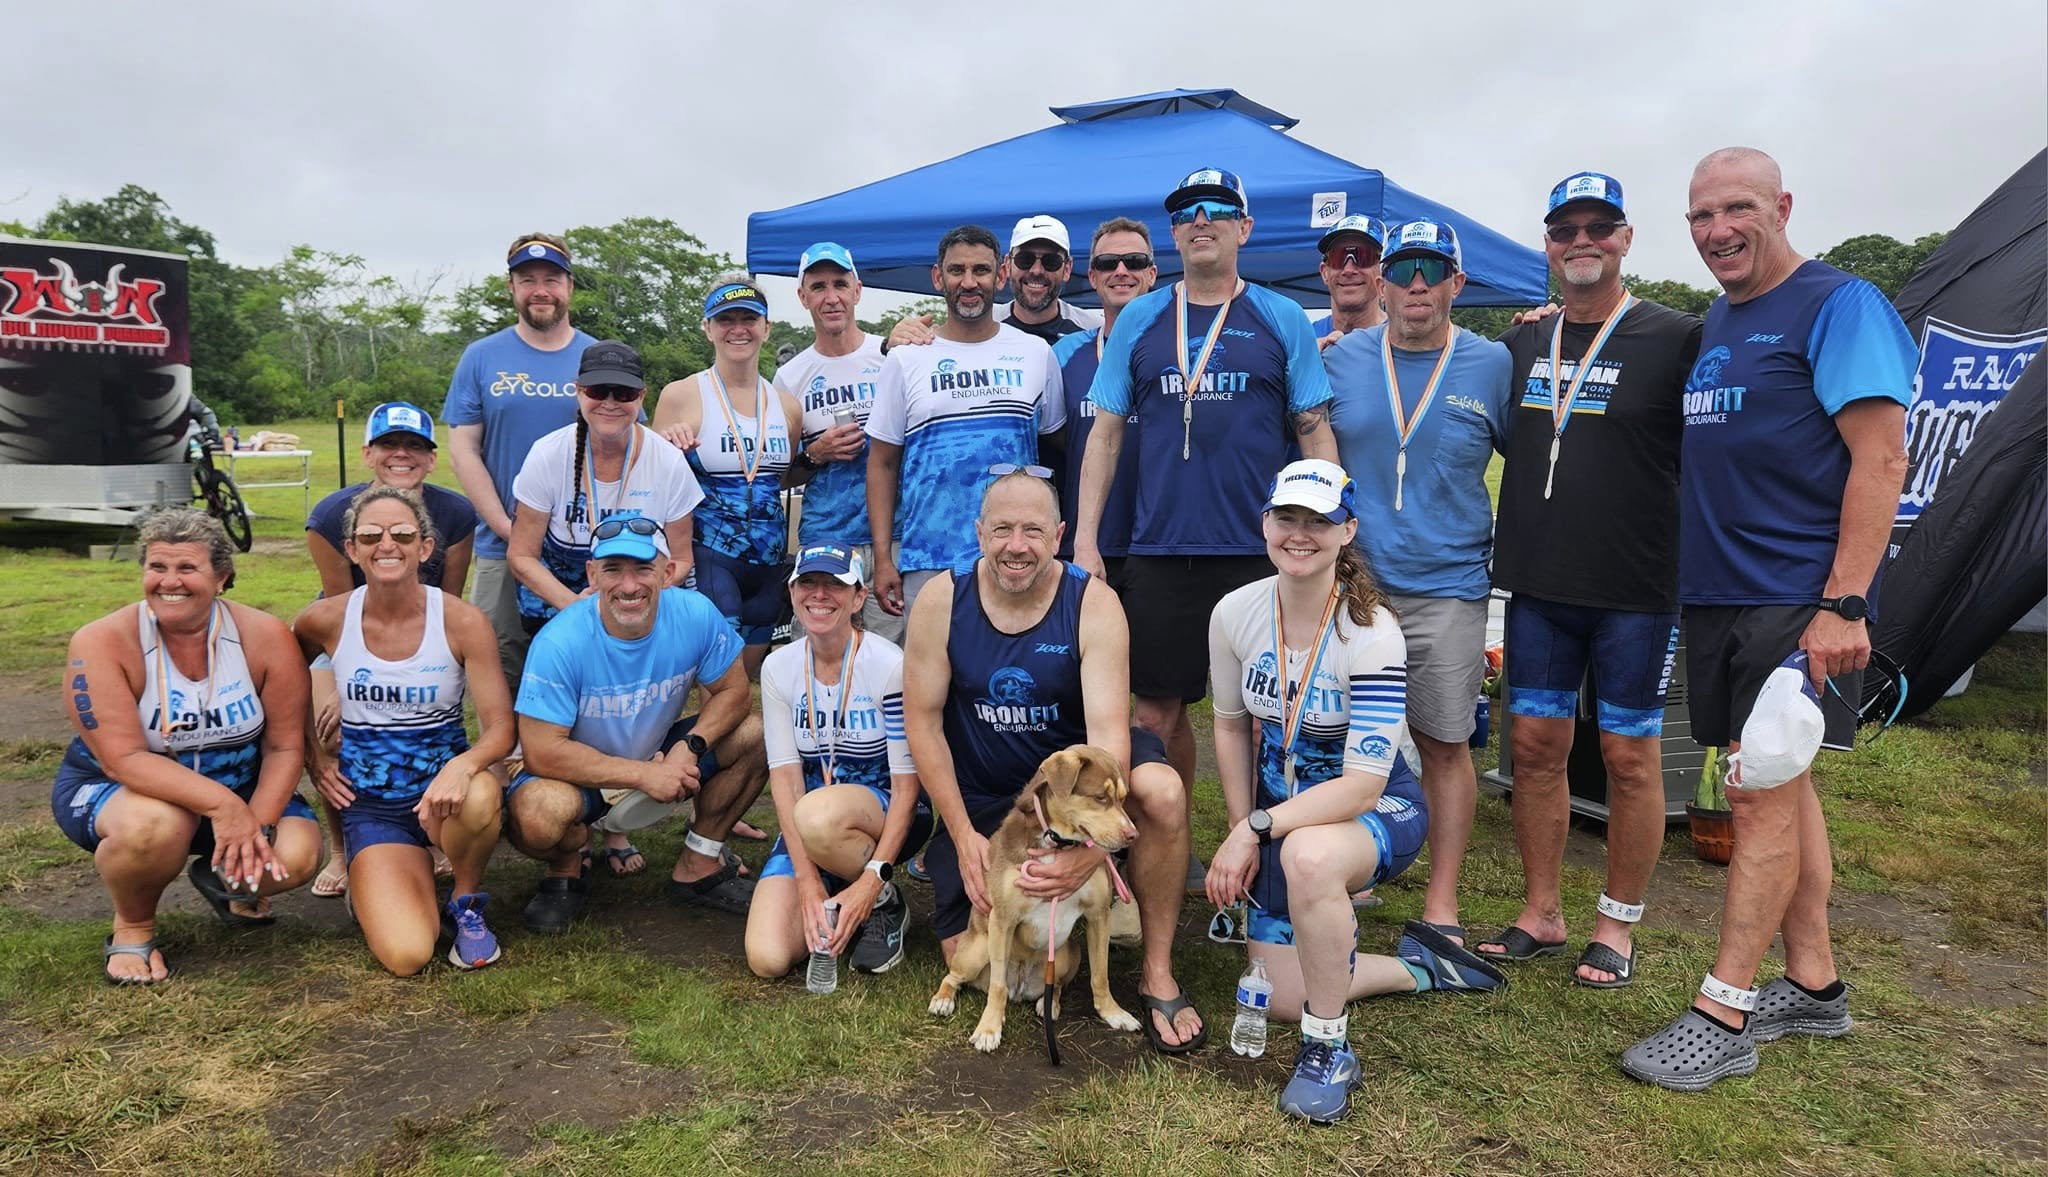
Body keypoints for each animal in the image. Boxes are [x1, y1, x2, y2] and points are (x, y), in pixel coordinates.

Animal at [928, 745, 1142, 1053]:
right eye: (1100, 797)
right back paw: (943, 999)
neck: (1057, 844)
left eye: (1123, 799)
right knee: (956, 977)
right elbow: (997, 987)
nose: (1133, 835)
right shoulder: (1002, 920)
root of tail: (1021, 988)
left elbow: (1100, 975)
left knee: (1056, 986)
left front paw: (1114, 1013)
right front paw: (989, 1029)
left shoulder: (1099, 915)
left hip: (1066, 955)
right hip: (976, 951)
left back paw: (1049, 1004)